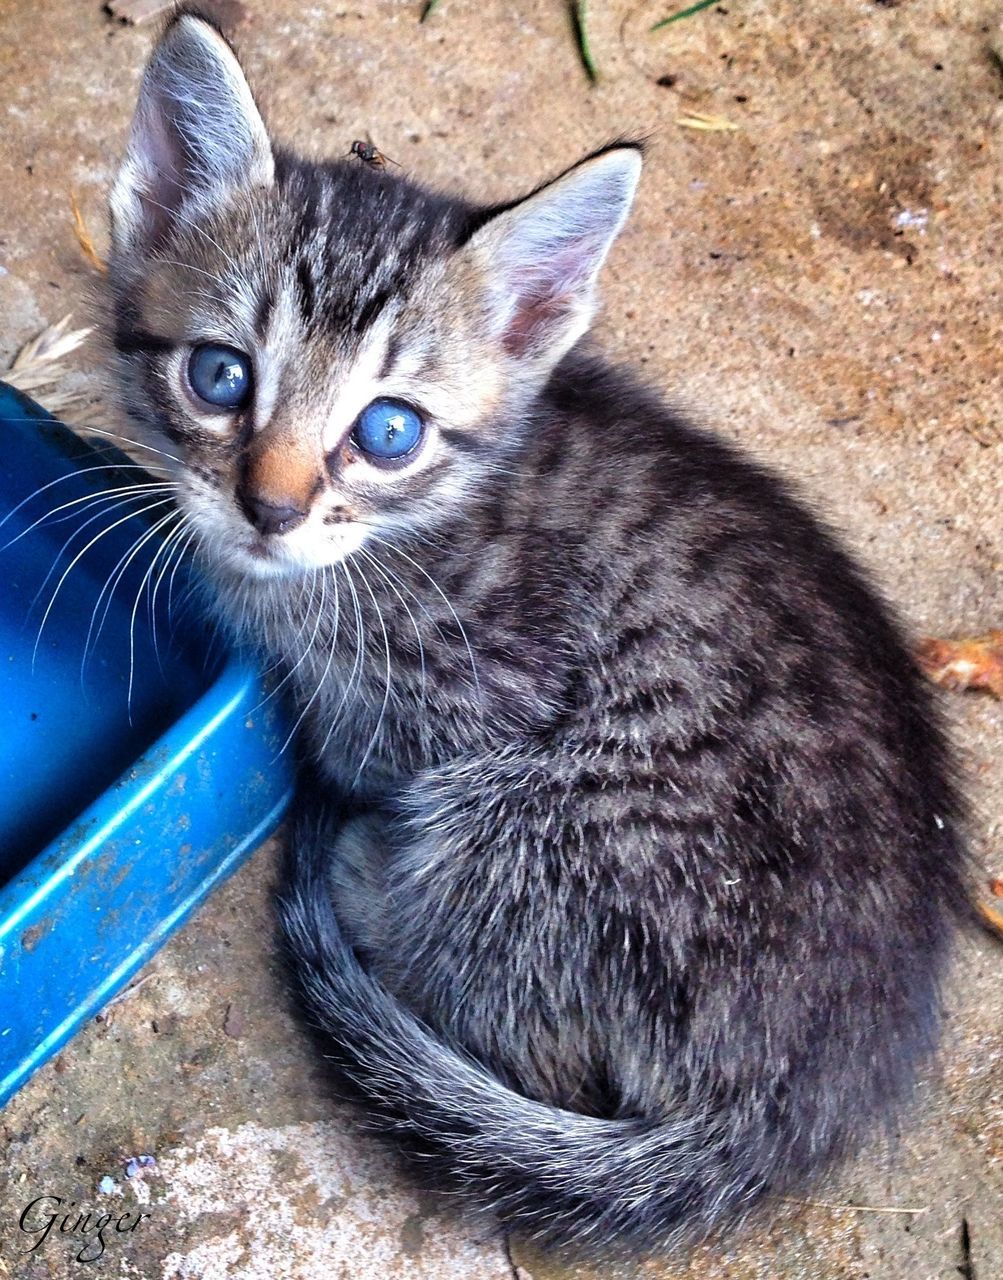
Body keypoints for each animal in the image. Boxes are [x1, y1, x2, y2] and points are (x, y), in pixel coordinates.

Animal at [105, 5, 967, 1254]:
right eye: (220, 375)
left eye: (388, 429)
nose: (269, 507)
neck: (403, 536)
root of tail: (797, 1093)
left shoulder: (465, 702)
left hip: (536, 816)